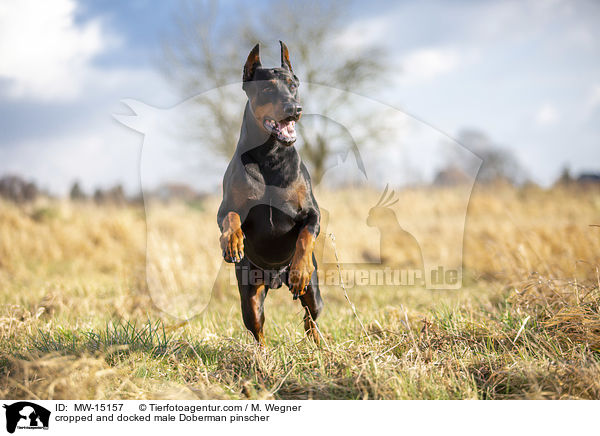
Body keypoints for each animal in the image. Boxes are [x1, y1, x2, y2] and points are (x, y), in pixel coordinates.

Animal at [218, 42, 324, 346]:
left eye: (293, 85)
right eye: (267, 89)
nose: (294, 109)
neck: (270, 156)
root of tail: (275, 280)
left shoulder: (312, 212)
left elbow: (306, 235)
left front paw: (299, 270)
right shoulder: (226, 207)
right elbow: (230, 217)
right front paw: (233, 242)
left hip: (314, 293)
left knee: (311, 316)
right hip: (250, 294)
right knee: (258, 328)